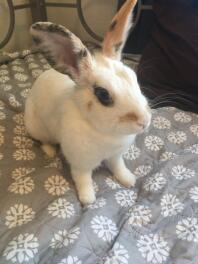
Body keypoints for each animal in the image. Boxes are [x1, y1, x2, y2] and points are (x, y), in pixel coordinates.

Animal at [25, 0, 152, 205]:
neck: (106, 134)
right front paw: (88, 199)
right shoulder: (80, 164)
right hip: (36, 127)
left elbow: (119, 167)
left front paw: (129, 180)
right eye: (103, 94)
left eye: (134, 78)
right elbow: (83, 180)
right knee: (43, 141)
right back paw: (50, 151)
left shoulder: (116, 156)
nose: (144, 121)